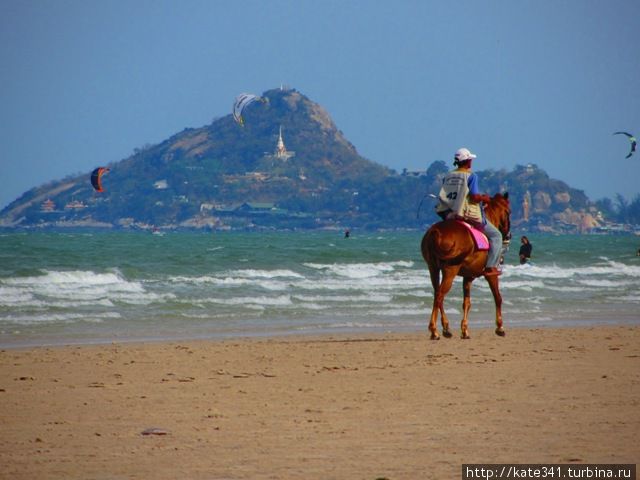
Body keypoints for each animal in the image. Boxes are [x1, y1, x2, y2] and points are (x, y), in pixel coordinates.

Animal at [420, 193, 510, 340]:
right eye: (509, 212)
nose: (508, 235)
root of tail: (435, 231)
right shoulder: (492, 274)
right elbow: (498, 298)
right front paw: (500, 327)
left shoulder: (468, 277)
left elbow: (466, 303)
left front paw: (465, 330)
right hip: (450, 271)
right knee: (439, 295)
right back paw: (434, 330)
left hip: (433, 269)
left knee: (437, 294)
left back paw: (446, 328)